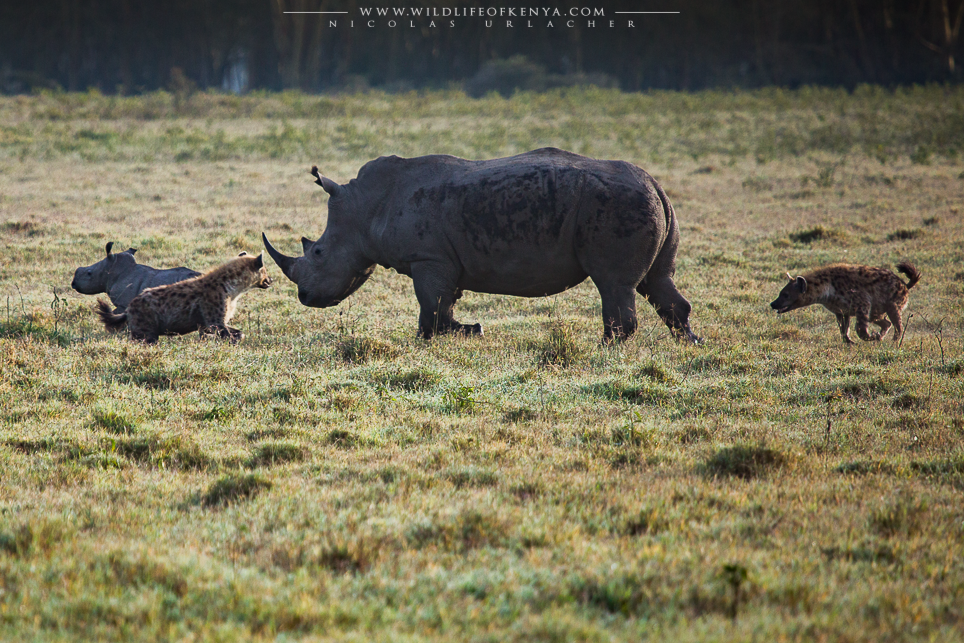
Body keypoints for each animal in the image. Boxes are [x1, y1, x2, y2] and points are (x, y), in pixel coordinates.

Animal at [263, 148, 699, 343]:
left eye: (317, 253)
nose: (304, 298)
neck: (364, 208)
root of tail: (657, 185)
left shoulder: (429, 258)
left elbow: (433, 309)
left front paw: (471, 330)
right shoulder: (444, 261)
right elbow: (440, 307)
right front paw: (458, 332)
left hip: (616, 204)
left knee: (613, 283)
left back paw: (605, 349)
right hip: (649, 204)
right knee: (656, 281)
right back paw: (689, 345)